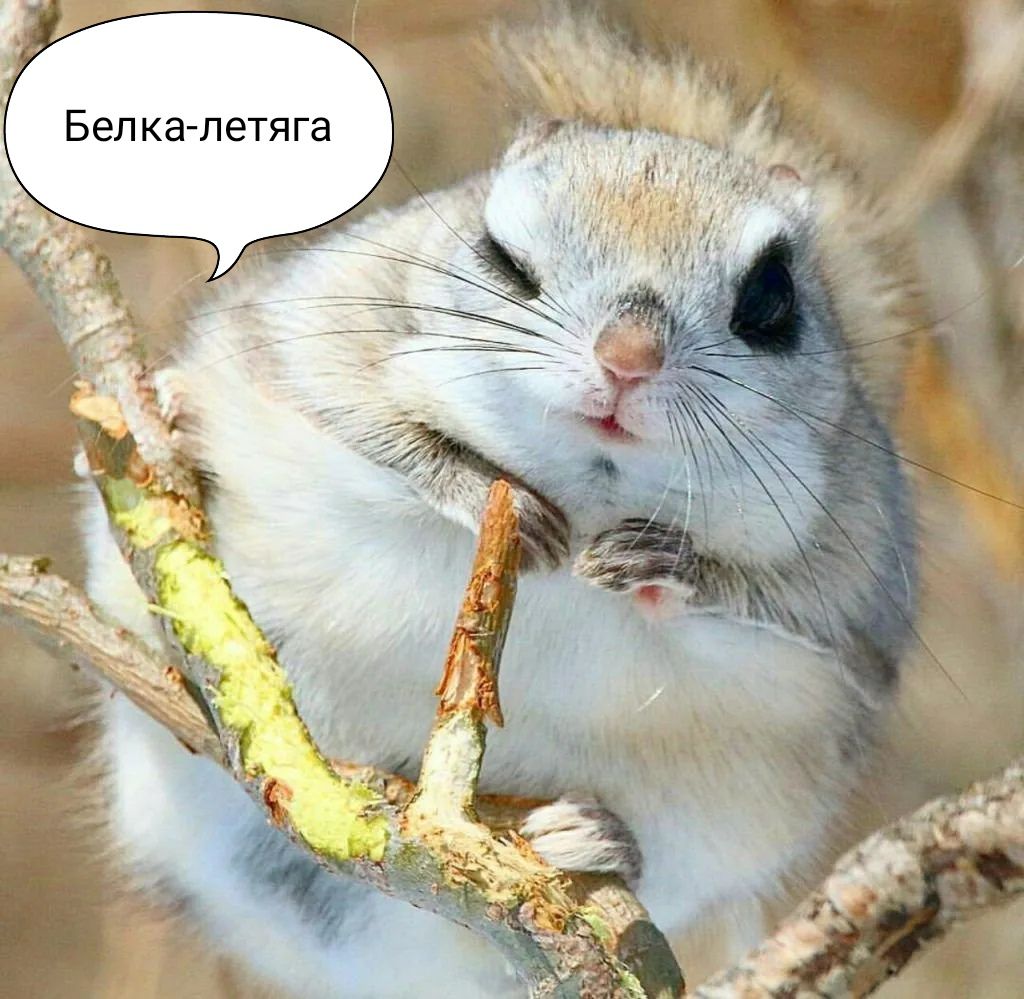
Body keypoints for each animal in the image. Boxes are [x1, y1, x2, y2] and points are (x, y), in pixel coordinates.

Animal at [83, 9, 919, 997]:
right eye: (501, 256)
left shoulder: (854, 575)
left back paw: (592, 836)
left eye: (772, 297)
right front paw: (483, 486)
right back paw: (172, 436)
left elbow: (785, 601)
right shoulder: (313, 326)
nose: (628, 357)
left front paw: (665, 562)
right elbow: (356, 414)